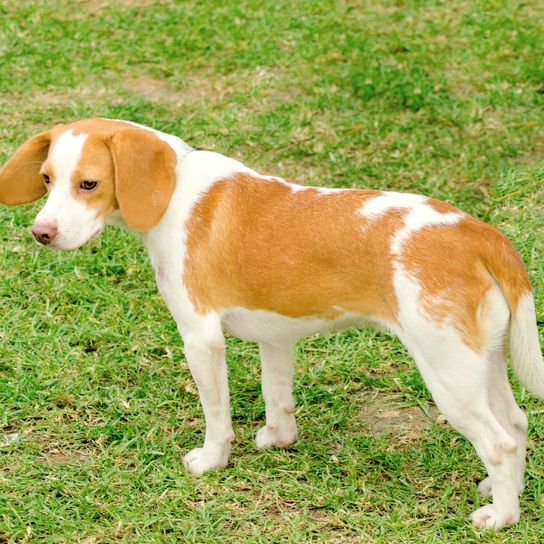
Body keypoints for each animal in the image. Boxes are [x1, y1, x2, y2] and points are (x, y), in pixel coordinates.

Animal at [0, 118, 540, 528]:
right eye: (46, 179)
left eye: (88, 183)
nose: (40, 233)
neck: (174, 189)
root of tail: (478, 233)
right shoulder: (276, 338)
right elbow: (276, 395)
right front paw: (278, 440)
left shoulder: (200, 339)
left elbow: (216, 416)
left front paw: (211, 461)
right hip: (481, 363)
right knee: (516, 424)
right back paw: (503, 489)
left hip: (446, 372)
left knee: (498, 442)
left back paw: (501, 517)